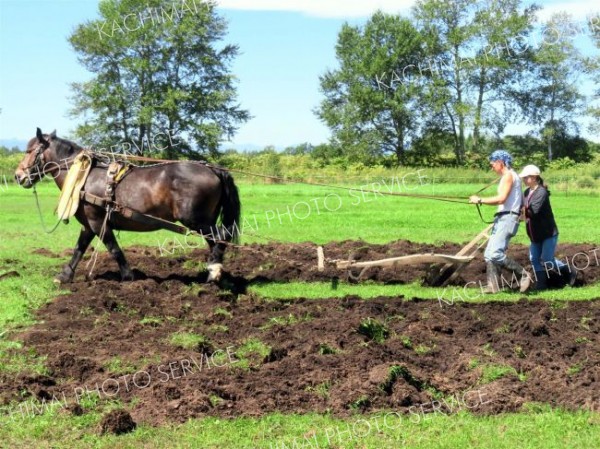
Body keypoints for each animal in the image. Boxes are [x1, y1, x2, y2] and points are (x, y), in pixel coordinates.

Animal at [14, 130, 239, 282]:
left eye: (29, 150)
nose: (18, 176)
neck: (84, 177)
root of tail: (213, 169)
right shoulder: (88, 225)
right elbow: (79, 248)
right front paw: (65, 275)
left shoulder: (98, 222)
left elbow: (114, 249)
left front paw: (128, 276)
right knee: (214, 240)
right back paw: (213, 270)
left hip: (195, 220)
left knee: (220, 236)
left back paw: (214, 271)